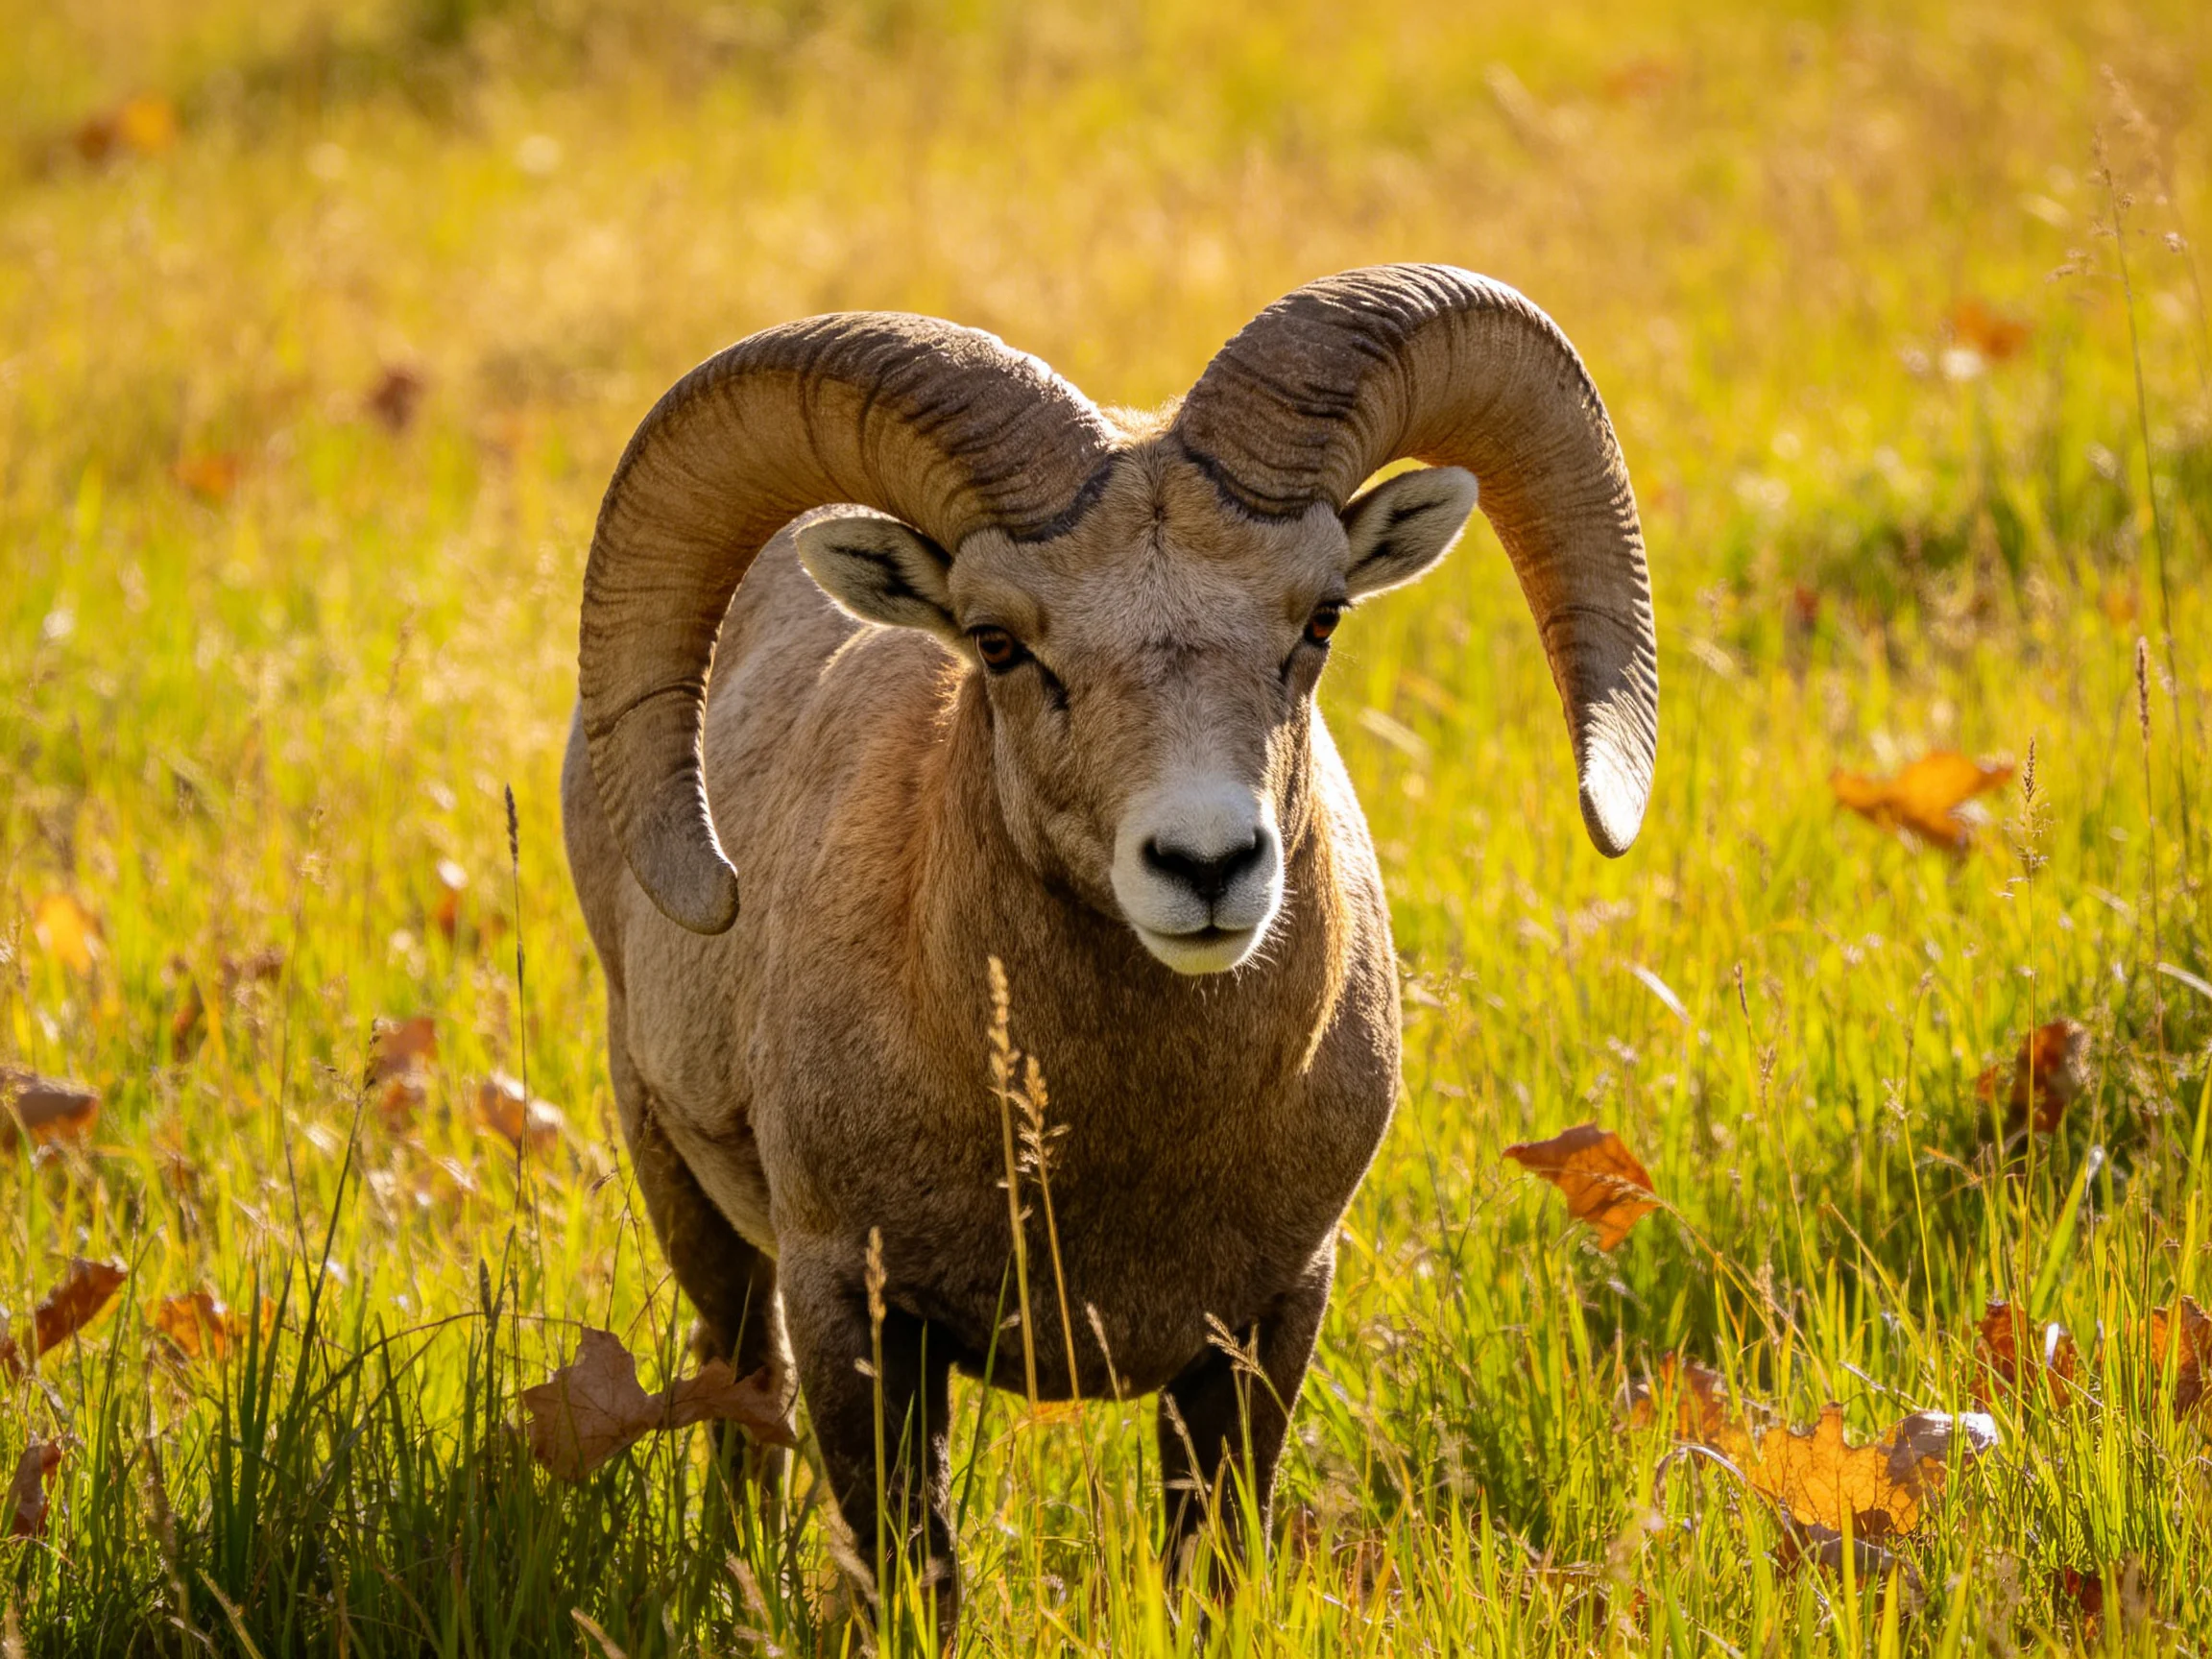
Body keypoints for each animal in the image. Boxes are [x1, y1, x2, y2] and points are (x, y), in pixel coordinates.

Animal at [561, 263, 1657, 1633]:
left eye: (1320, 619)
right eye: (997, 641)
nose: (1206, 865)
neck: (1121, 1151)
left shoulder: (1265, 1322)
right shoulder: (853, 1308)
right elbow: (912, 1572)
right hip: (682, 1189)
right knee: (735, 1386)